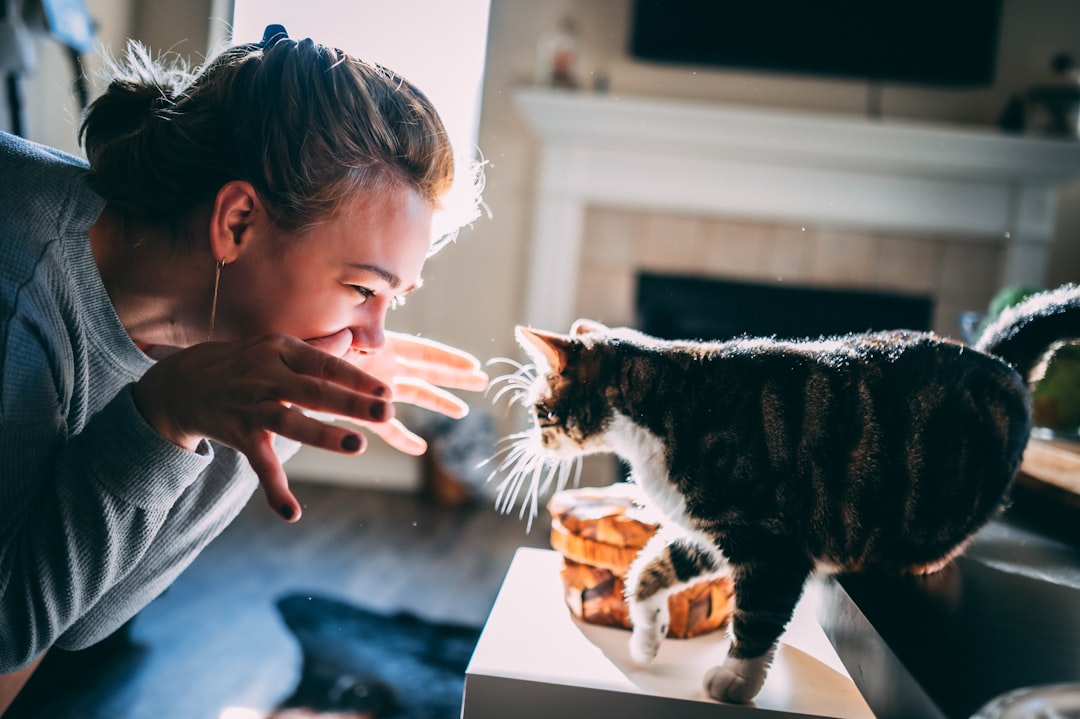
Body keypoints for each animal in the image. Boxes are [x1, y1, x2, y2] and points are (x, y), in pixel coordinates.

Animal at [492, 282, 1080, 703]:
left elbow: (757, 616)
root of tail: (1001, 362)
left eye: (541, 410)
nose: (535, 439)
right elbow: (646, 572)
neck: (662, 403)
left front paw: (736, 683)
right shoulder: (703, 529)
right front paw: (647, 637)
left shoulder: (771, 543)